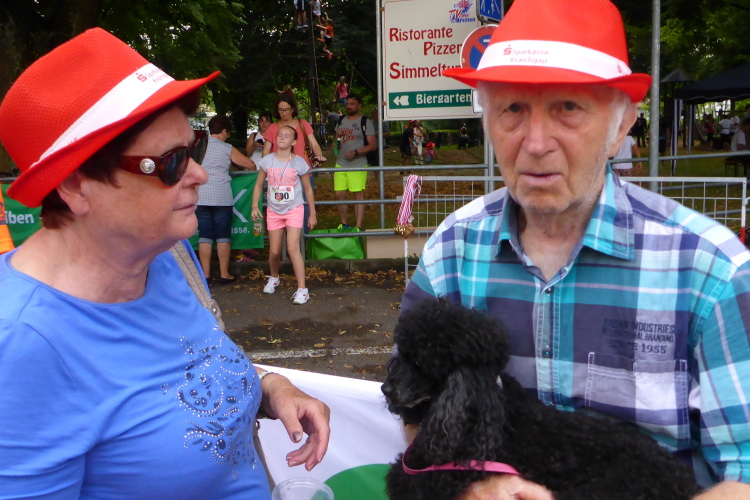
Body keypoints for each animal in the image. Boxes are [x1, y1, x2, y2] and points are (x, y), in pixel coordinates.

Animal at [381, 299, 701, 500]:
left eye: (421, 363)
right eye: (403, 354)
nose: (386, 389)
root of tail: (686, 482)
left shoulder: (446, 471)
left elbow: (406, 477)